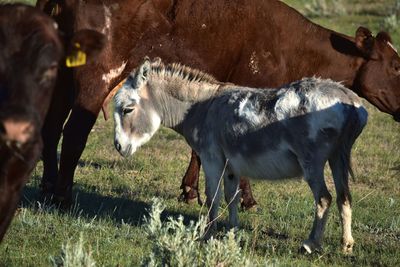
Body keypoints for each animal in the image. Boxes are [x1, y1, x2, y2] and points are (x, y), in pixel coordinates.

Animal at [36, 0, 398, 209]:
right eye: (395, 65)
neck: (290, 46)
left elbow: (199, 149)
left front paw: (190, 191)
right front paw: (246, 200)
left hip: (61, 77)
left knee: (50, 128)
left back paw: (48, 187)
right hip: (94, 77)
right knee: (73, 133)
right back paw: (63, 197)